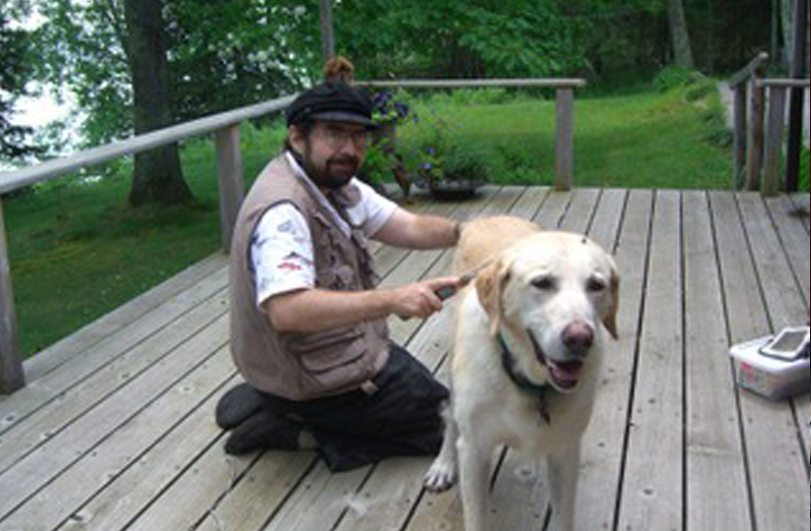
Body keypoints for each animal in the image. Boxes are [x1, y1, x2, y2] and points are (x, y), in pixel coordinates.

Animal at [422, 216, 620, 531]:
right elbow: (476, 517)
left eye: (596, 285)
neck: (530, 382)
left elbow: (564, 516)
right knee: (449, 415)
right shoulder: (474, 451)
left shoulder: (565, 451)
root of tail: (481, 219)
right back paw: (443, 464)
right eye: (542, 283)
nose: (580, 338)